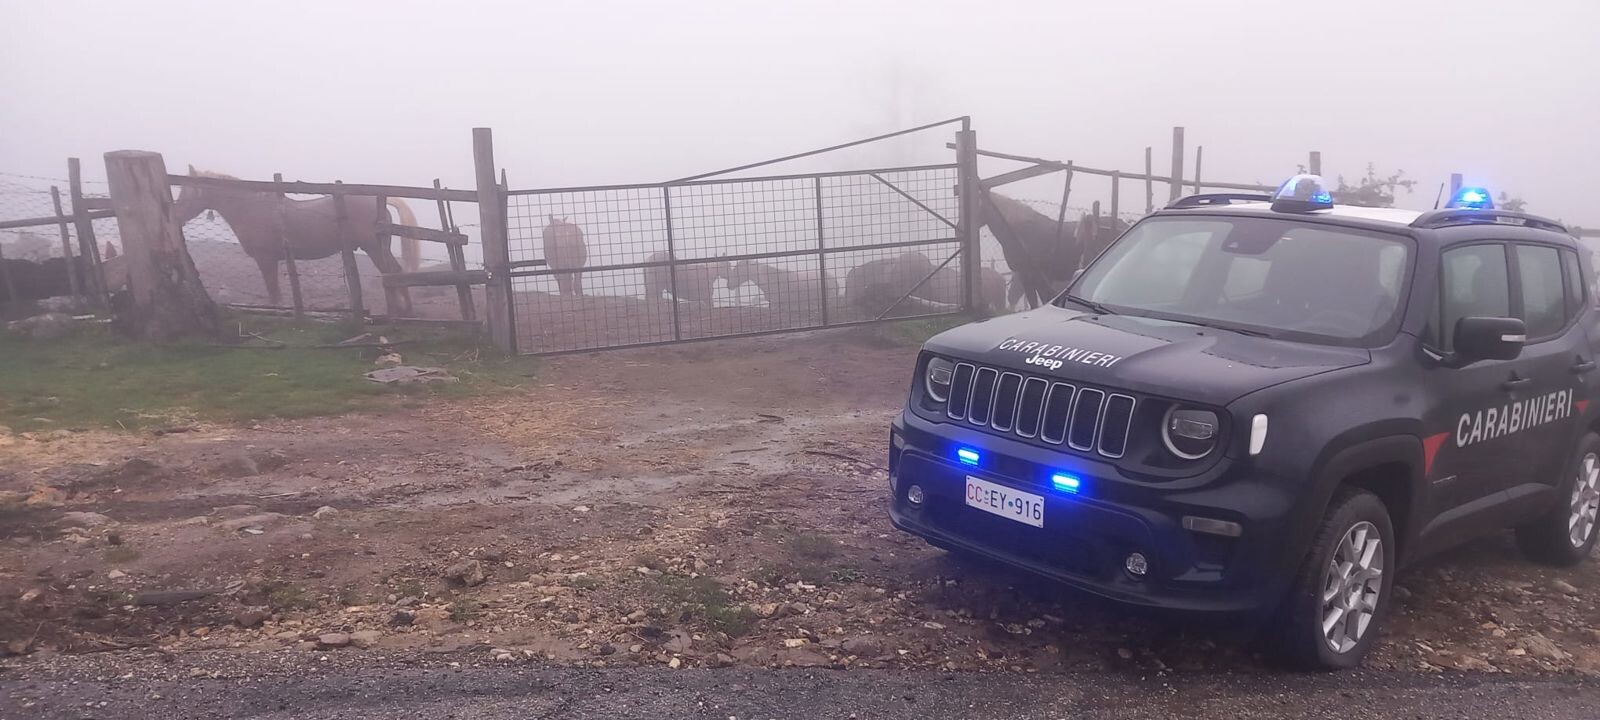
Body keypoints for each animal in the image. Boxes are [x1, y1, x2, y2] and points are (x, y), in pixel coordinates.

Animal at [172, 167, 422, 316]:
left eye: (186, 193)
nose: (175, 216)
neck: (252, 208)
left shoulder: (266, 259)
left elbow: (274, 293)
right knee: (394, 273)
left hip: (374, 248)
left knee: (392, 273)